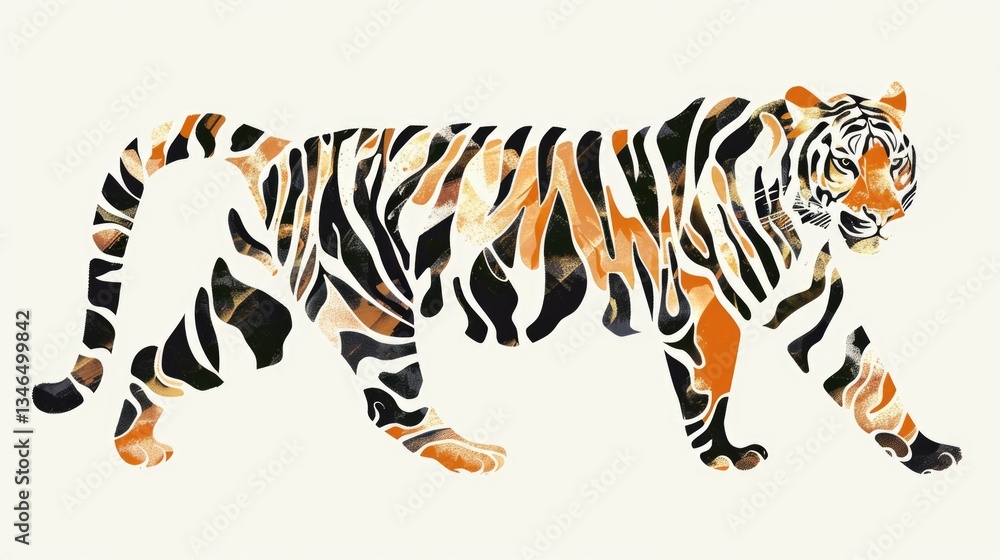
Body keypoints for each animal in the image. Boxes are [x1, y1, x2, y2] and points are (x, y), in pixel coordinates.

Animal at [33, 82, 962, 475]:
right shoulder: (697, 311)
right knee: (393, 408)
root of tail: (283, 148)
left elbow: (870, 381)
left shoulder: (811, 303)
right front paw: (725, 457)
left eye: (895, 162)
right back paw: (472, 455)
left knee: (154, 358)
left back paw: (134, 446)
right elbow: (712, 387)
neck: (793, 213)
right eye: (846, 164)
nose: (883, 216)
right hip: (370, 308)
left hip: (247, 308)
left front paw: (927, 453)